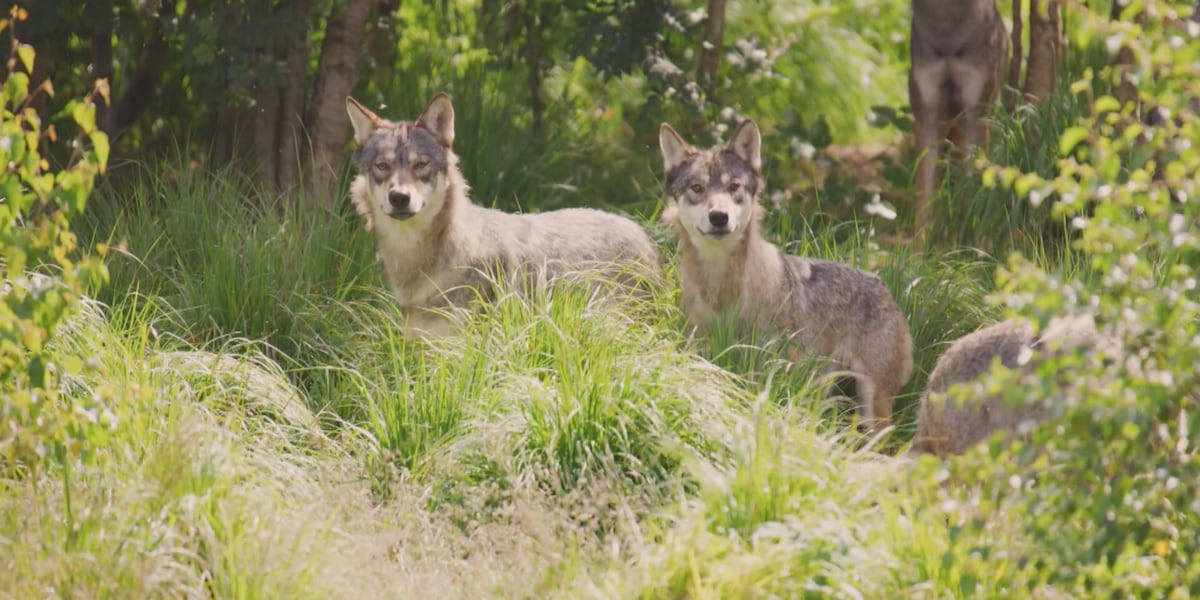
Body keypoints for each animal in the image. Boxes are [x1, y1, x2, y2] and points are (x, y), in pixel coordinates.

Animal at [658, 120, 913, 432]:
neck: (722, 287)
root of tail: (885, 289)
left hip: (872, 400)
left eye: (733, 187)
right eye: (697, 188)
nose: (719, 217)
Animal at [909, 0, 1008, 231]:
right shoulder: (927, 113)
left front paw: (967, 236)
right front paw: (922, 242)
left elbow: (969, 189)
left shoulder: (974, 114)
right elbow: (925, 200)